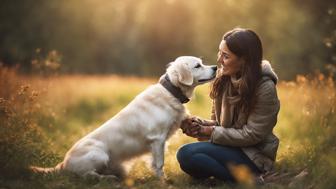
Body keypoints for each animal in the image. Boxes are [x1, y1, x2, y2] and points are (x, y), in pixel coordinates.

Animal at [31, 55, 218, 179]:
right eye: (198, 66)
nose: (216, 67)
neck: (171, 92)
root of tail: (63, 163)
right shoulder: (157, 139)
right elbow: (159, 164)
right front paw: (163, 182)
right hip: (99, 154)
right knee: (87, 176)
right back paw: (107, 179)